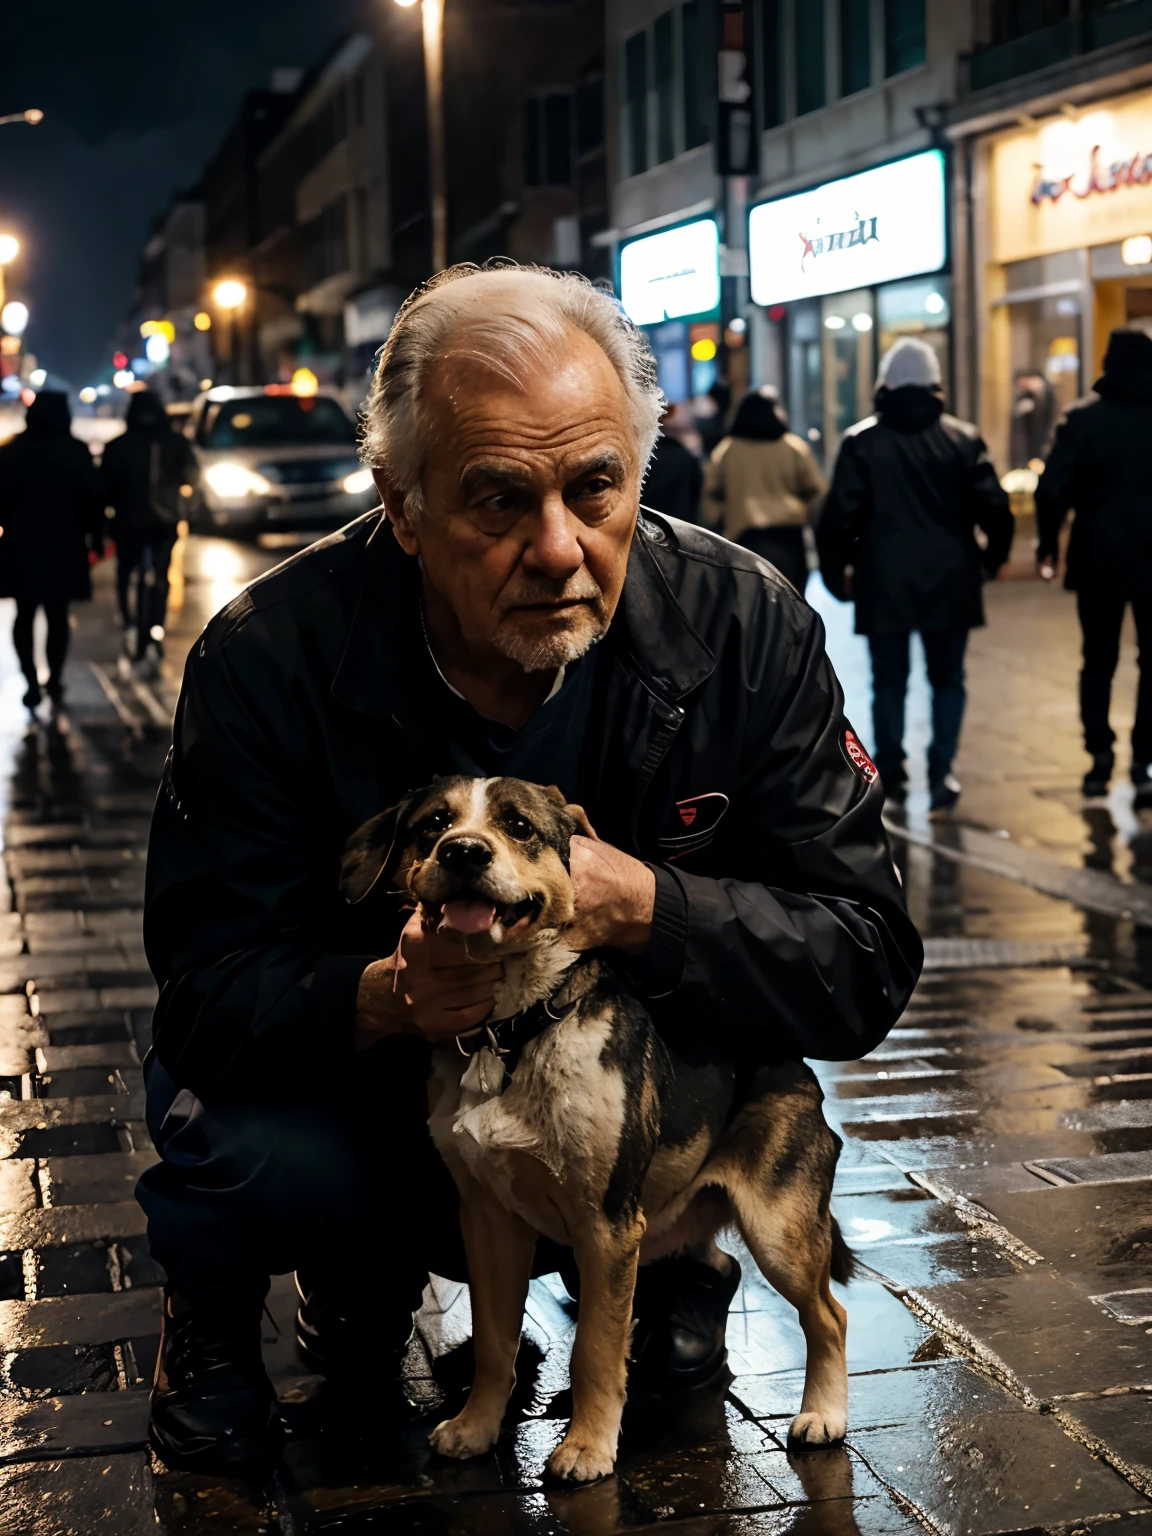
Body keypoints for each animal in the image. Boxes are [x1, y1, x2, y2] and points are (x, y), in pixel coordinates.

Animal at [337, 774, 854, 1480]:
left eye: (519, 826)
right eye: (434, 824)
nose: (463, 852)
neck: (513, 1030)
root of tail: (797, 1065)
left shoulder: (606, 1226)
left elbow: (594, 1352)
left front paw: (585, 1447)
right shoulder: (488, 1222)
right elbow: (494, 1344)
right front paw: (476, 1428)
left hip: (779, 1227)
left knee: (829, 1315)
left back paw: (823, 1415)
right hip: (677, 1217)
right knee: (720, 1262)